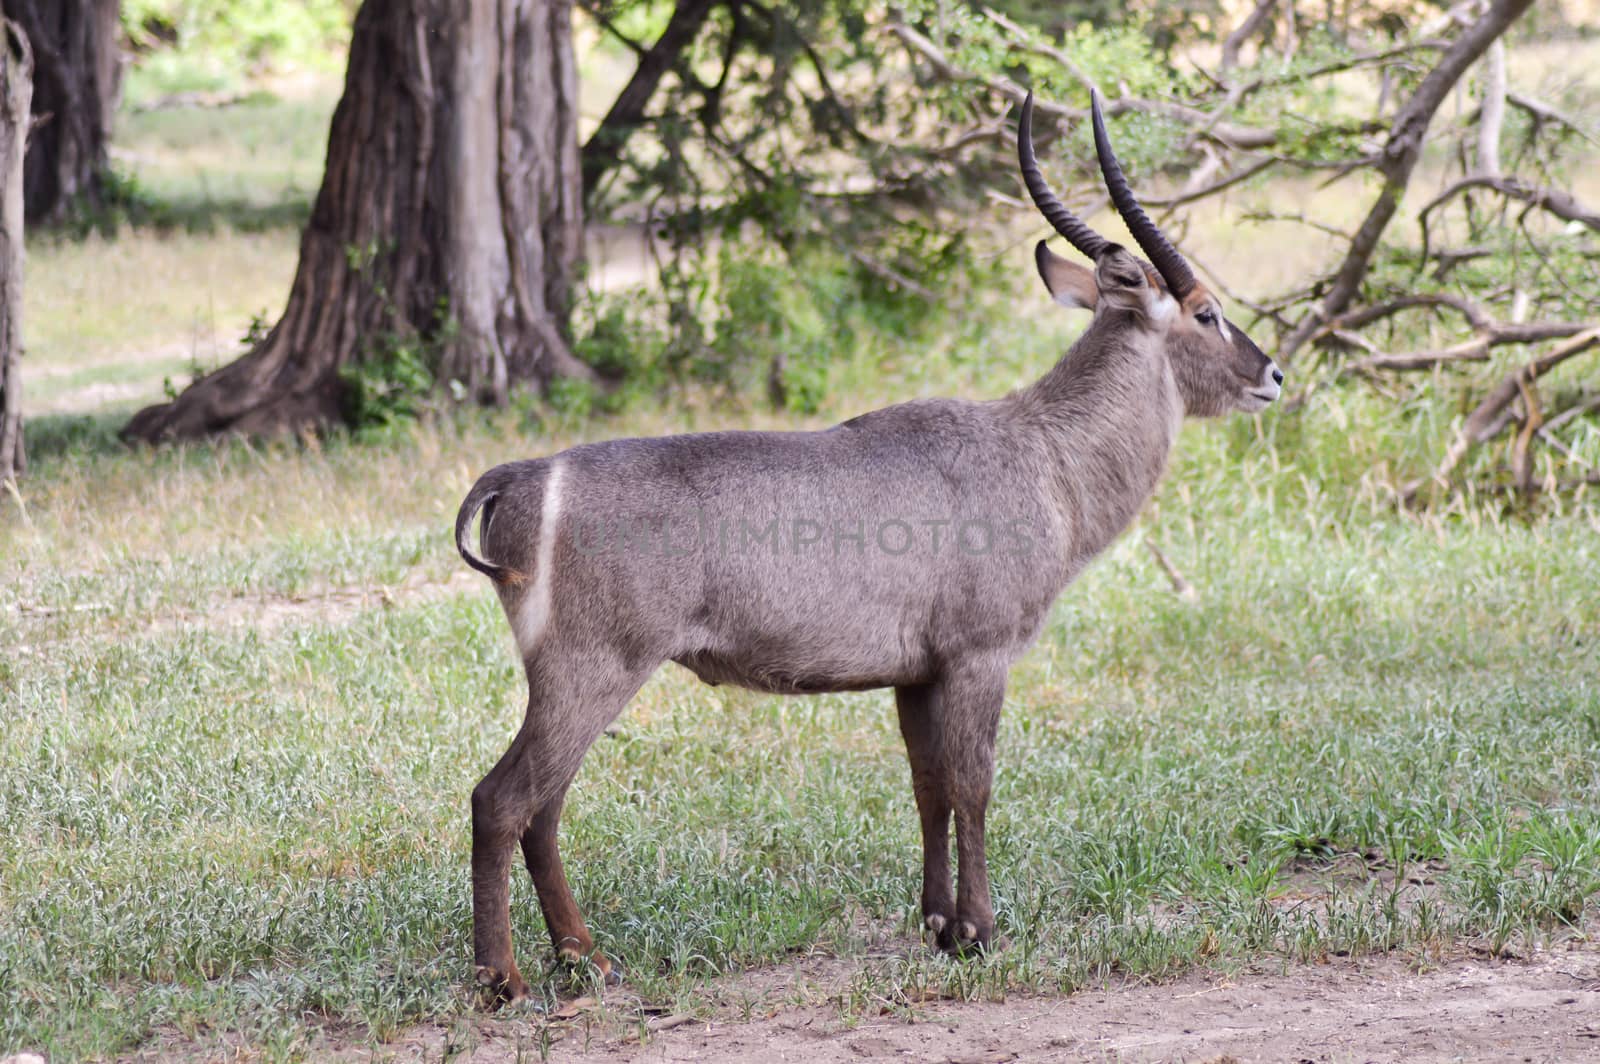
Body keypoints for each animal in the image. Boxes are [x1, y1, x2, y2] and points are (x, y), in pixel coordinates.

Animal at [457, 89, 1280, 998]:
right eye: (1207, 312)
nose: (1272, 374)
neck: (1043, 455)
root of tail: (522, 475)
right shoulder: (979, 655)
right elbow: (974, 785)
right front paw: (983, 931)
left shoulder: (916, 673)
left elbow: (928, 788)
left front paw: (940, 926)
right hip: (594, 669)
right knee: (501, 800)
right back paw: (505, 978)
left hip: (577, 679)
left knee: (543, 808)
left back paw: (585, 957)